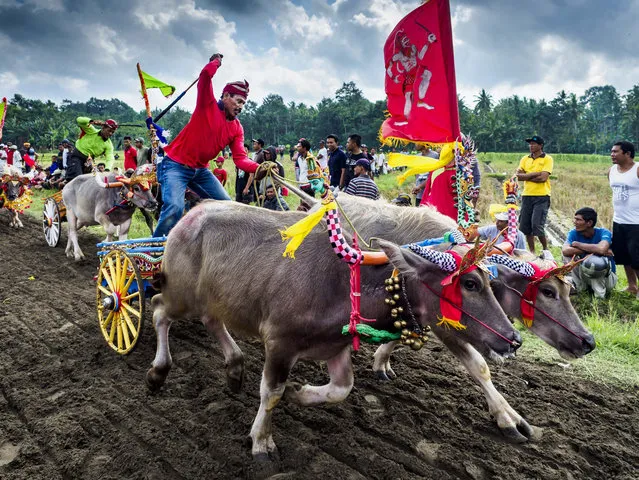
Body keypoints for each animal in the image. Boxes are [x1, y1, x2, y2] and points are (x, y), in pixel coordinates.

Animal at [148, 201, 528, 460]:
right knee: (158, 310)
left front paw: (301, 393)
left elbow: (341, 388)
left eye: (491, 281)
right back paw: (158, 372)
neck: (345, 283)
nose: (513, 339)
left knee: (211, 320)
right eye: (469, 283)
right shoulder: (279, 343)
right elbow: (271, 392)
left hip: (213, 299)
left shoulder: (336, 347)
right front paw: (261, 441)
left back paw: (235, 368)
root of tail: (188, 217)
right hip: (181, 294)